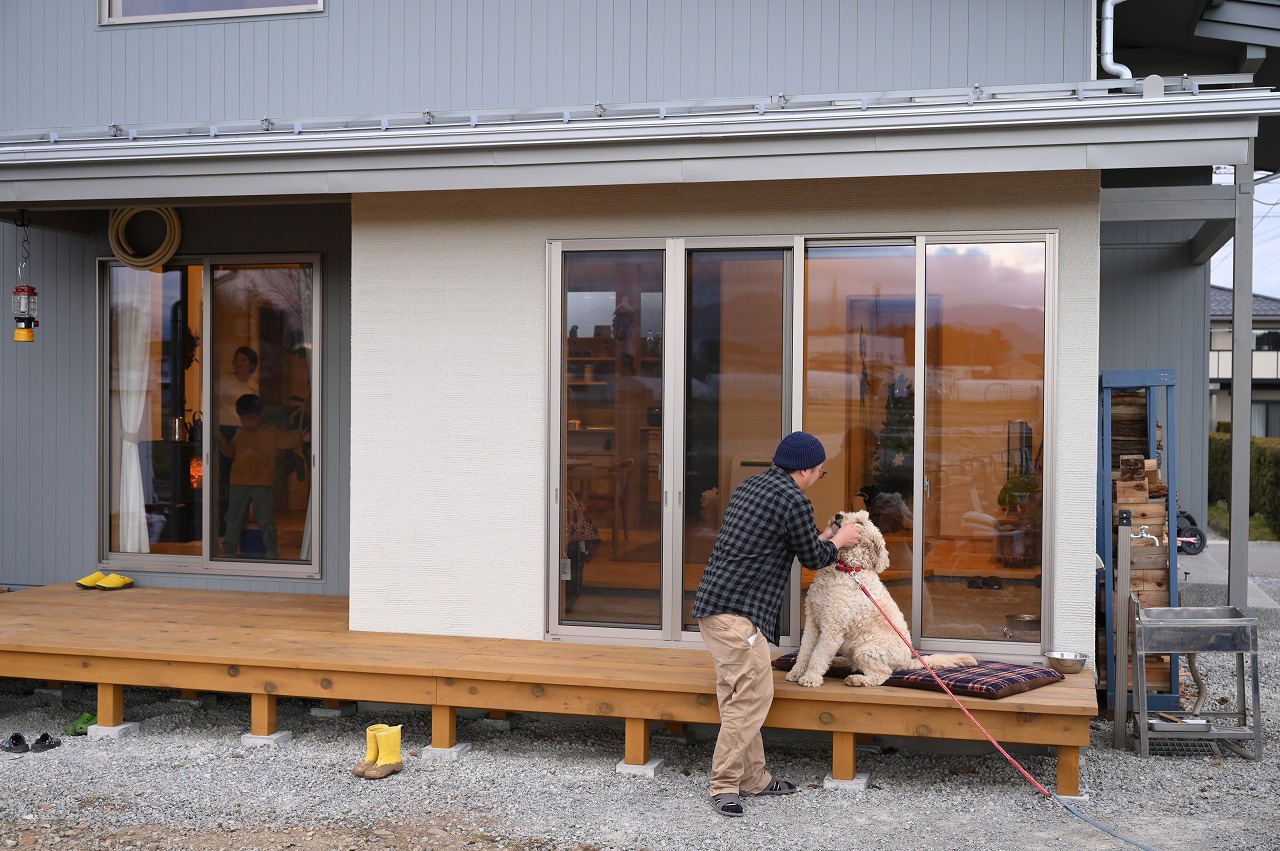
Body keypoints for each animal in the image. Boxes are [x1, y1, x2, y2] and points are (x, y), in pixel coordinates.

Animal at [783, 511, 972, 685]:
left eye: (859, 522)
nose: (838, 515)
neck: (847, 569)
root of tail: (907, 662)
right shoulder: (812, 621)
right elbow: (805, 651)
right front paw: (796, 672)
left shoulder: (833, 627)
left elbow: (818, 655)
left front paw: (810, 678)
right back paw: (838, 661)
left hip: (865, 649)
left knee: (881, 674)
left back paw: (857, 679)